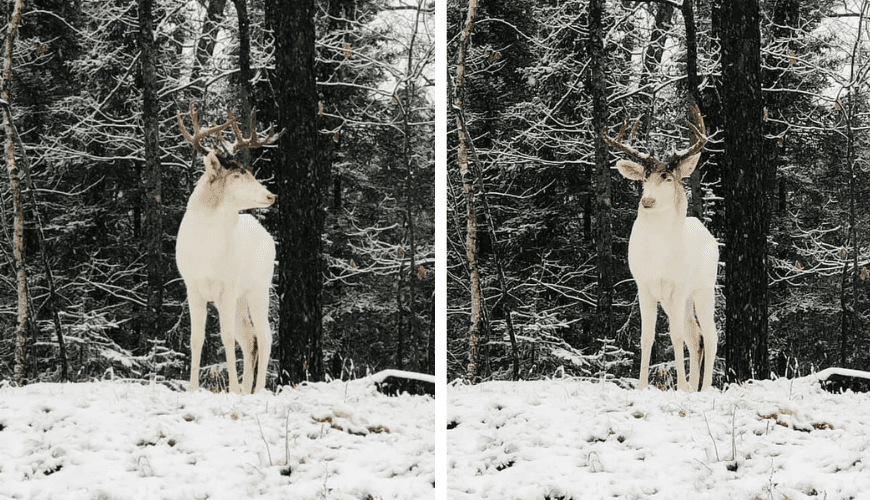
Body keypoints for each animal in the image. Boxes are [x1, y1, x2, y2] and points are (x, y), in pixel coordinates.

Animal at [176, 103, 282, 394]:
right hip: (241, 298)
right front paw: (192, 389)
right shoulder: (192, 287)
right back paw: (247, 390)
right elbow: (196, 338)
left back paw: (256, 389)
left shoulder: (227, 286)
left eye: (250, 172)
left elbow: (226, 336)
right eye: (237, 175)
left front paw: (233, 388)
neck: (206, 252)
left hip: (258, 287)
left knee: (264, 336)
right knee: (250, 338)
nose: (271, 195)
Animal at [604, 102, 720, 390]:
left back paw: (702, 388)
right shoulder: (644, 286)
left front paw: (681, 387)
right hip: (677, 299)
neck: (658, 256)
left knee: (710, 335)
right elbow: (647, 337)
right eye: (645, 177)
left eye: (667, 177)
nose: (647, 201)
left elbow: (675, 335)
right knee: (696, 336)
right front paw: (642, 386)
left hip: (703, 288)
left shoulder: (678, 285)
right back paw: (693, 388)